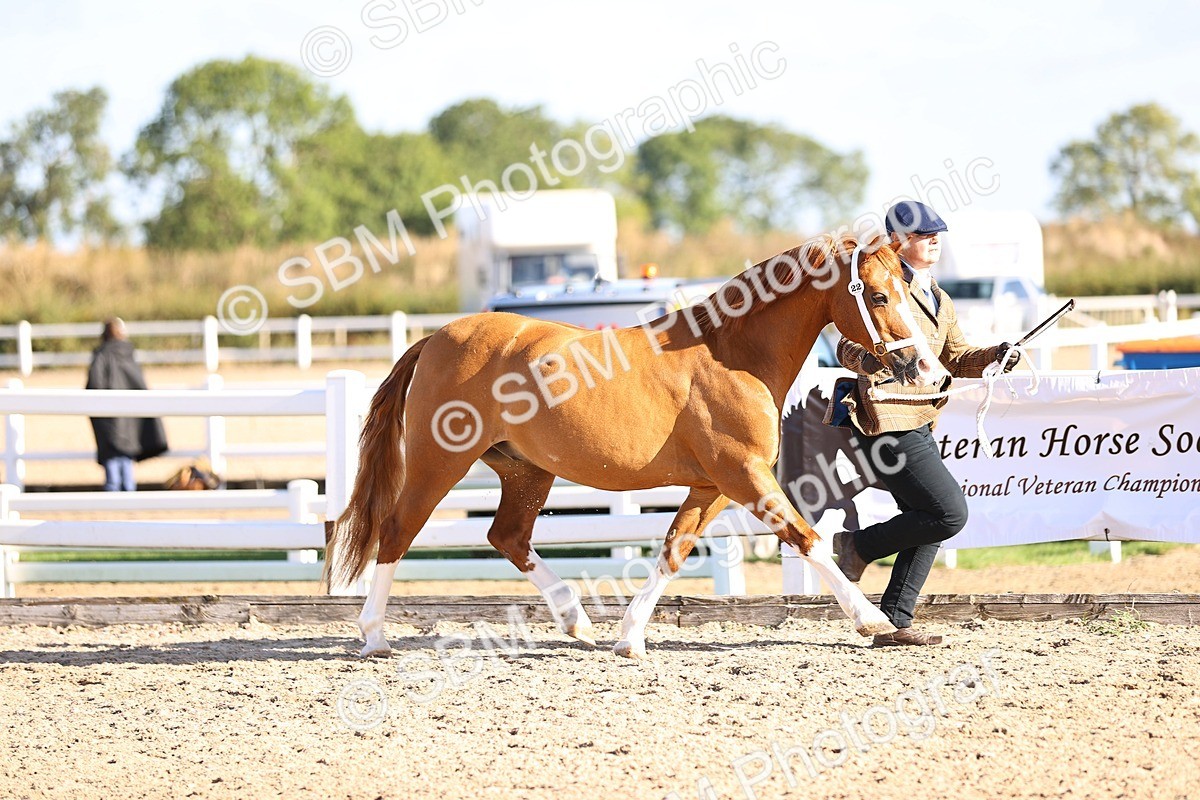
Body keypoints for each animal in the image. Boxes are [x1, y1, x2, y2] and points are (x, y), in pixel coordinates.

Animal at [325, 232, 948, 658]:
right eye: (877, 295)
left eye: (905, 289)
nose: (925, 368)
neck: (734, 355)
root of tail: (435, 339)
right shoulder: (745, 474)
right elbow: (808, 539)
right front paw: (872, 620)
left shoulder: (712, 485)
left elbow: (674, 550)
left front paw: (628, 638)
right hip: (439, 463)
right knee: (396, 531)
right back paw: (373, 635)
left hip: (526, 471)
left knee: (507, 536)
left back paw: (576, 620)